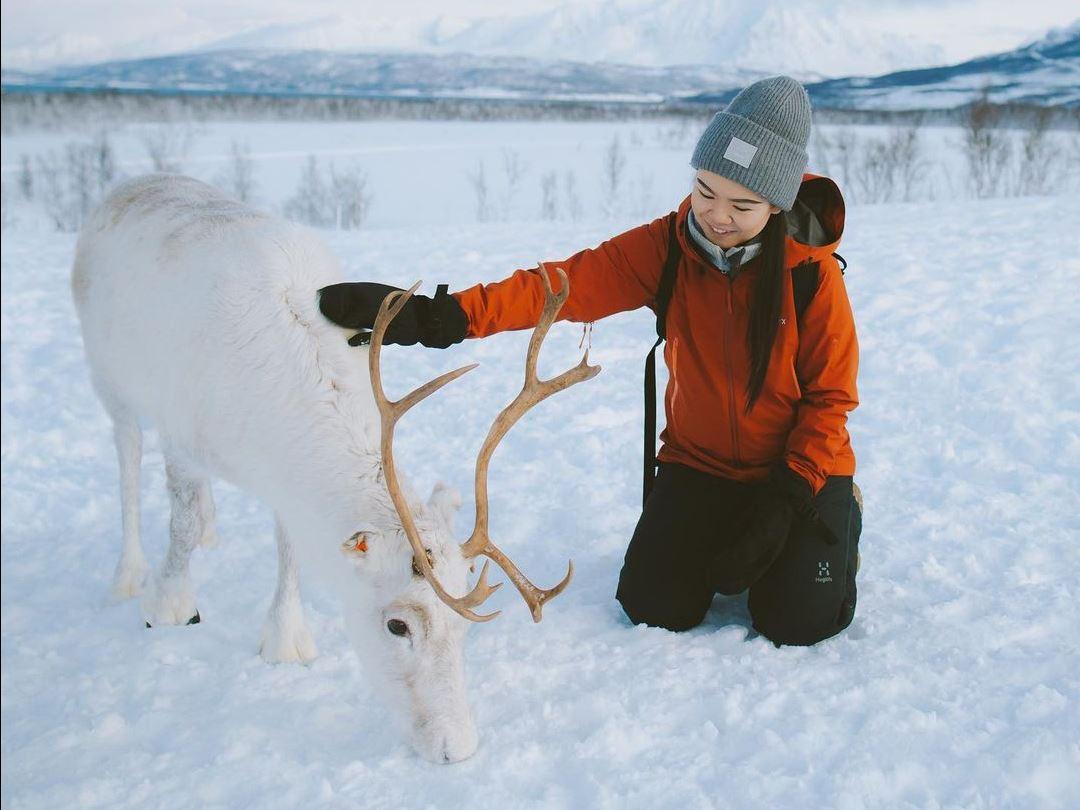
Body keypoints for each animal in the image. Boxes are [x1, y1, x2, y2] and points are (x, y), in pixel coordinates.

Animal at [71, 173, 599, 763]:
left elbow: (289, 550)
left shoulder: (281, 478)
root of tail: (132, 184)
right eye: (397, 625)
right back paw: (128, 572)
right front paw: (170, 606)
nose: (456, 747)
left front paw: (284, 639)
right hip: (110, 381)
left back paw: (210, 528)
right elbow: (178, 524)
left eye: (464, 631)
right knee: (128, 459)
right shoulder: (181, 433)